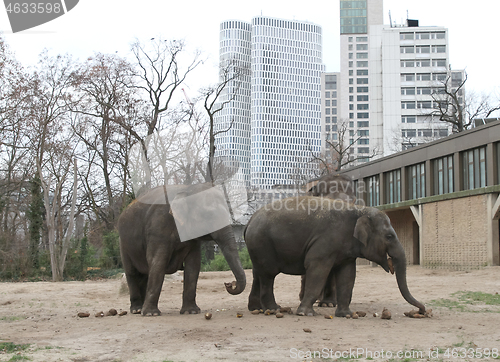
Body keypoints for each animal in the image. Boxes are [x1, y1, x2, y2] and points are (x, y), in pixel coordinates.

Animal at [119, 185, 248, 316]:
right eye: (209, 216)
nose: (229, 284)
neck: (188, 189)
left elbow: (193, 265)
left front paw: (191, 311)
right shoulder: (158, 228)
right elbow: (158, 263)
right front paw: (151, 314)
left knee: (144, 274)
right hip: (124, 244)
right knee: (132, 272)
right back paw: (137, 310)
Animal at [244, 195, 424, 316]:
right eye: (389, 236)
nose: (421, 311)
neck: (359, 210)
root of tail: (250, 220)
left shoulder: (346, 251)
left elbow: (347, 275)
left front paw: (346, 315)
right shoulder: (326, 241)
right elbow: (317, 269)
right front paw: (306, 313)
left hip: (257, 248)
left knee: (258, 273)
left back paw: (256, 308)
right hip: (262, 244)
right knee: (268, 275)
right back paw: (274, 309)